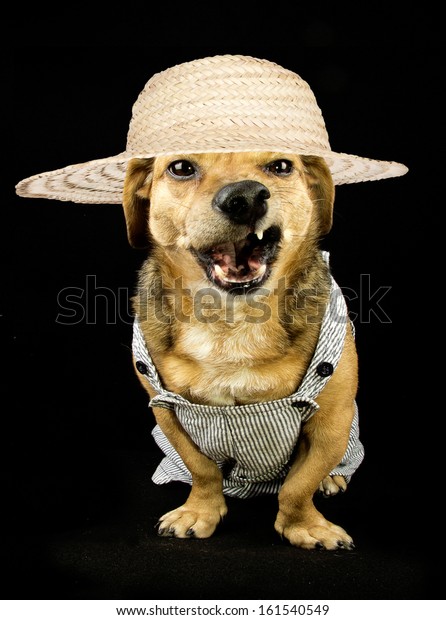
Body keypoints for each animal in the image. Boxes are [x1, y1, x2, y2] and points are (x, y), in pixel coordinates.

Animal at [122, 153, 358, 548]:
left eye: (281, 166)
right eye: (181, 168)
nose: (245, 198)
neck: (231, 318)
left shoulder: (333, 423)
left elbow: (299, 485)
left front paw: (304, 525)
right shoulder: (166, 411)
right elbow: (202, 469)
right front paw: (199, 511)